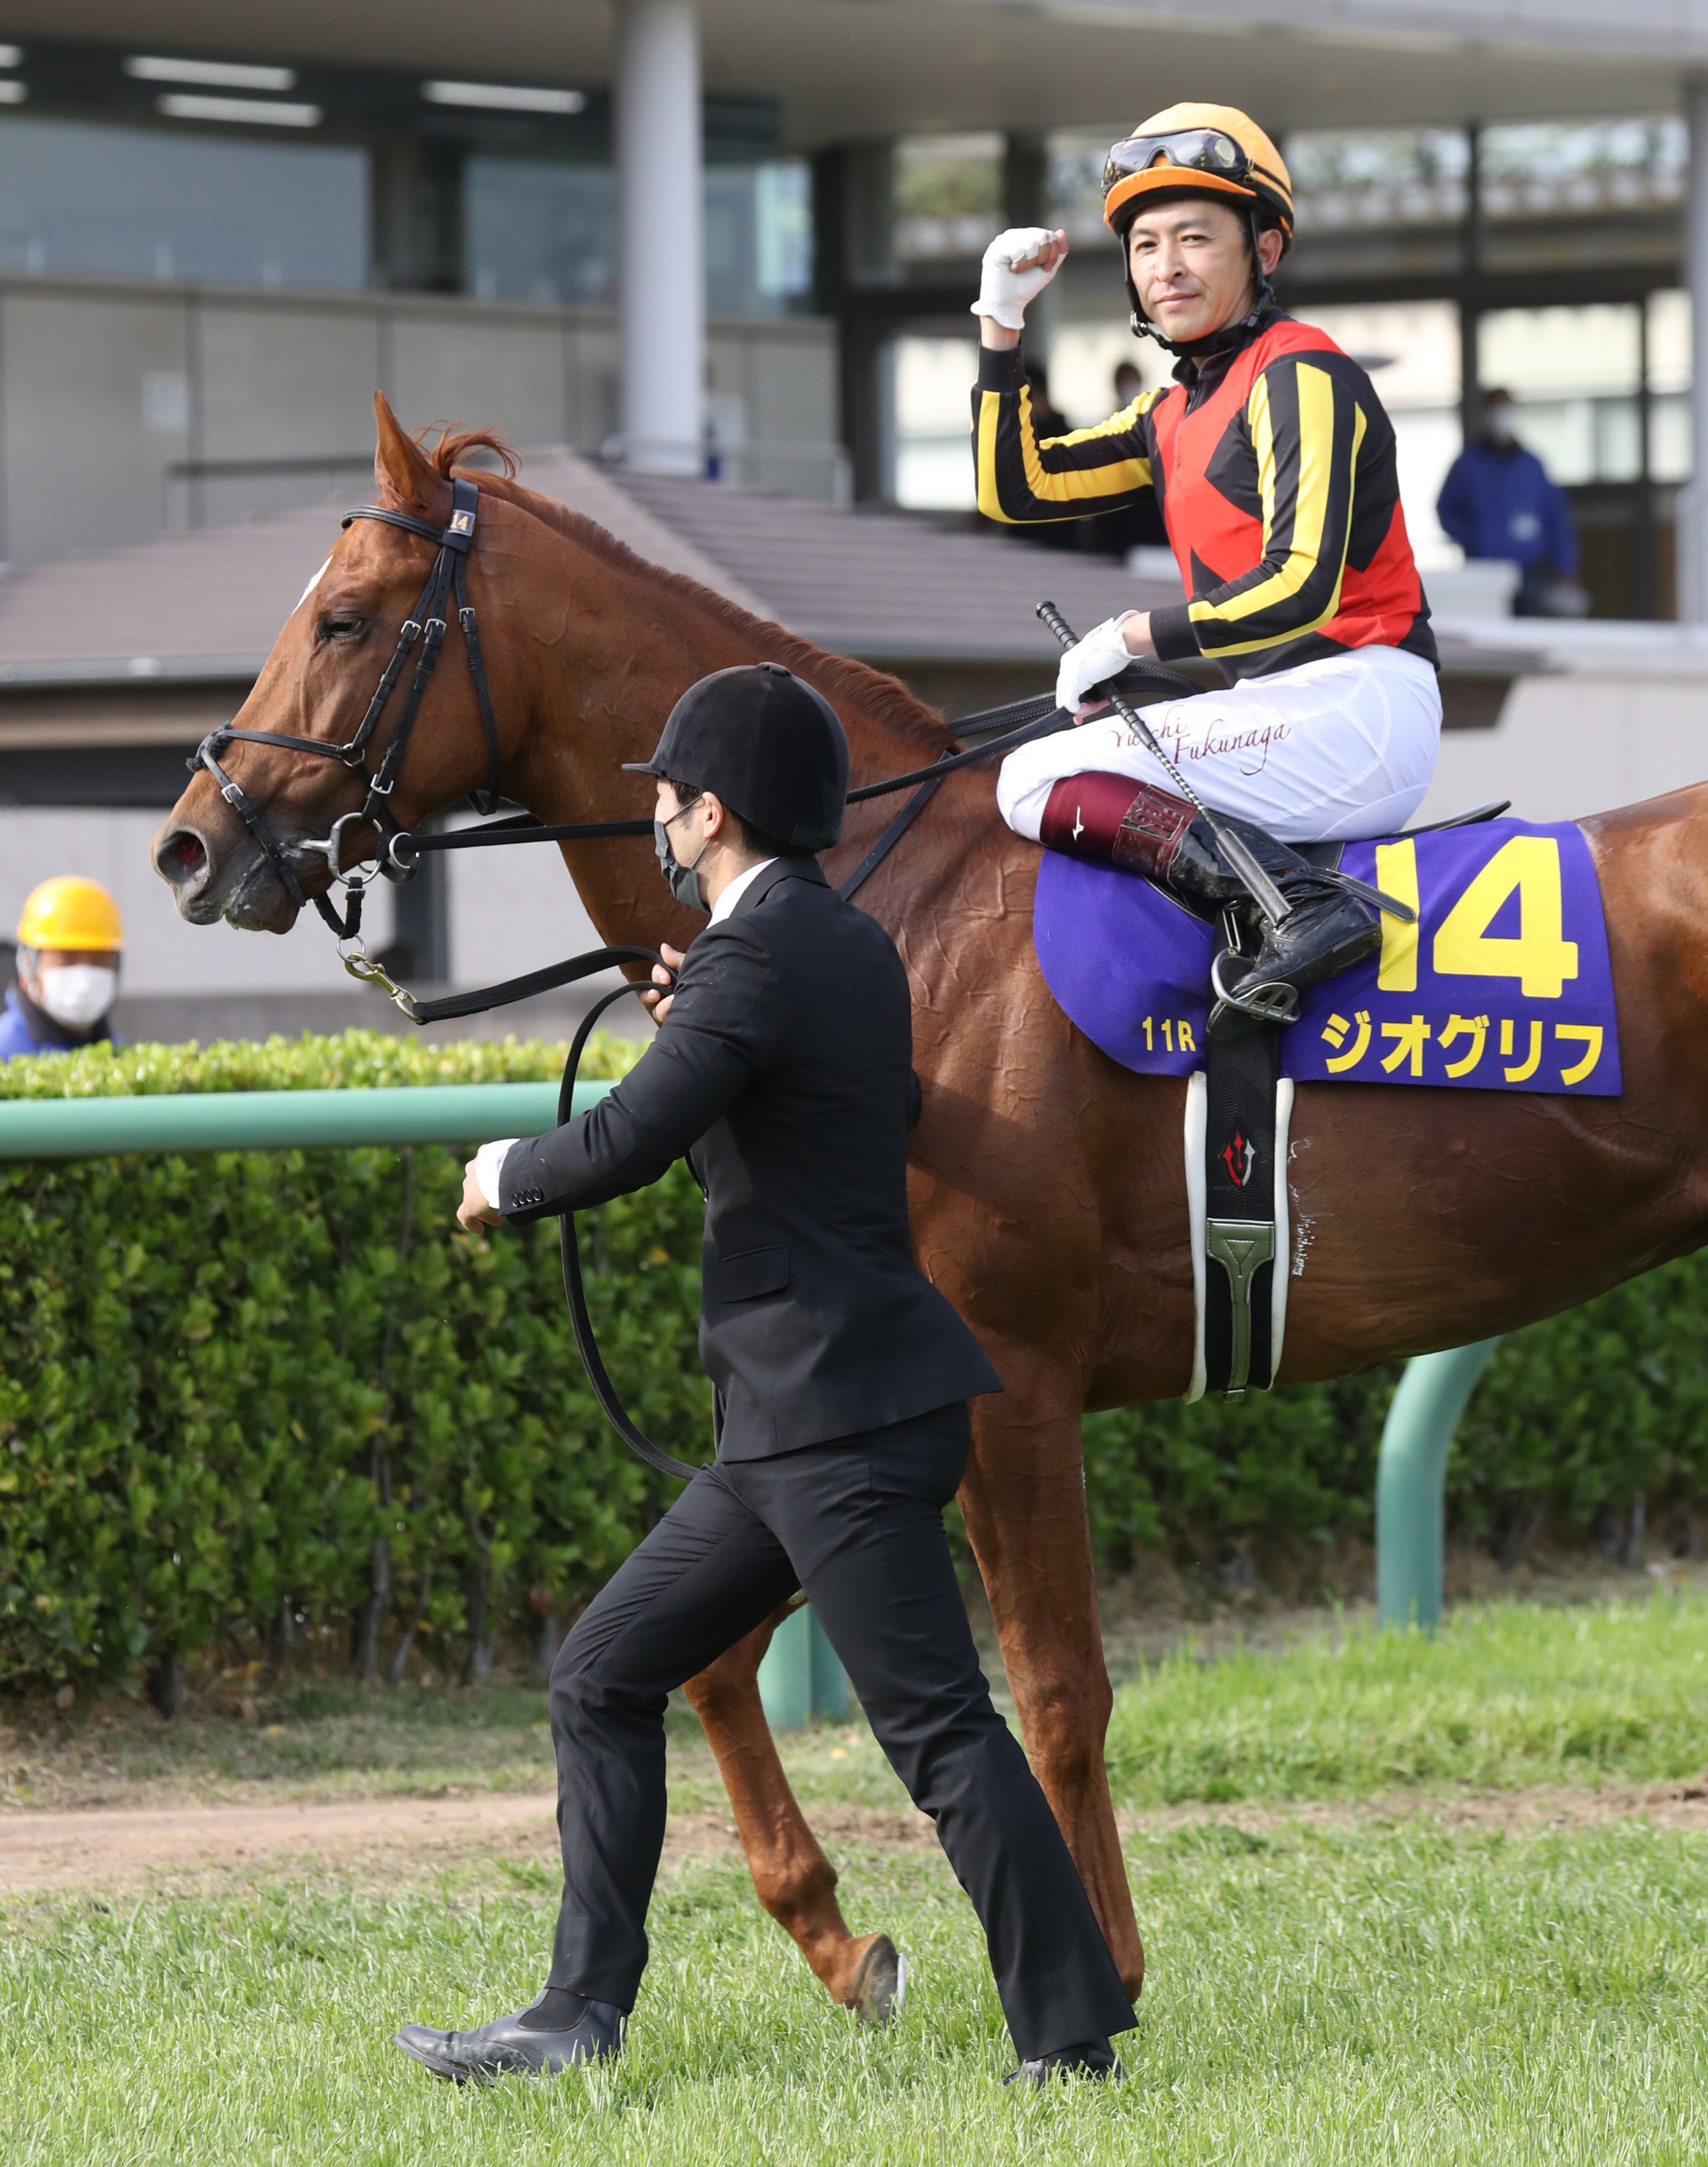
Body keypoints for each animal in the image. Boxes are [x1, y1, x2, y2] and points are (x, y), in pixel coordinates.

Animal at [150, 403, 1708, 2011]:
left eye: (342, 619)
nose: (192, 843)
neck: (895, 909)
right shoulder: (882, 1396)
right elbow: (714, 1658)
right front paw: (836, 1937)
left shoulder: (1006, 1375)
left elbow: (1055, 1687)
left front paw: (1099, 1978)